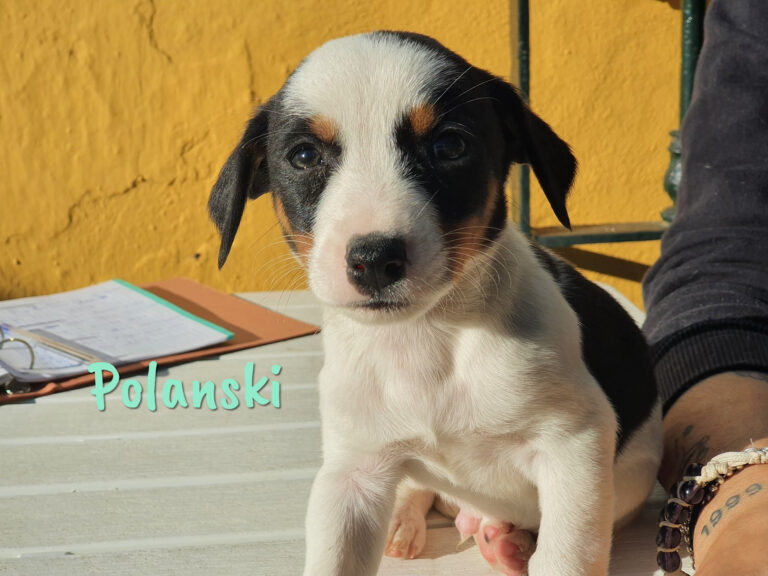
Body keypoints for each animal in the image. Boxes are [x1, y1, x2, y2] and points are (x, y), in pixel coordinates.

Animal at [209, 31, 662, 576]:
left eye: (449, 146)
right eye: (303, 156)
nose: (373, 259)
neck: (426, 339)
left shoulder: (573, 445)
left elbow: (565, 556)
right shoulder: (353, 473)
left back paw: (508, 542)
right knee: (417, 485)